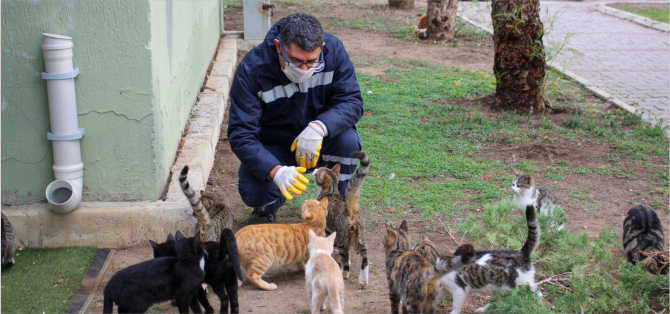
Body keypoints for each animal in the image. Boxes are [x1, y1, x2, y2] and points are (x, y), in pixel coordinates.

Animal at [316, 152, 372, 290]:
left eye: (318, 171)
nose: (314, 169)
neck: (330, 191)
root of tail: (350, 208)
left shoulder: (327, 228)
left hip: (343, 238)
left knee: (346, 262)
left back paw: (343, 273)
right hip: (359, 239)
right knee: (364, 259)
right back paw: (363, 281)